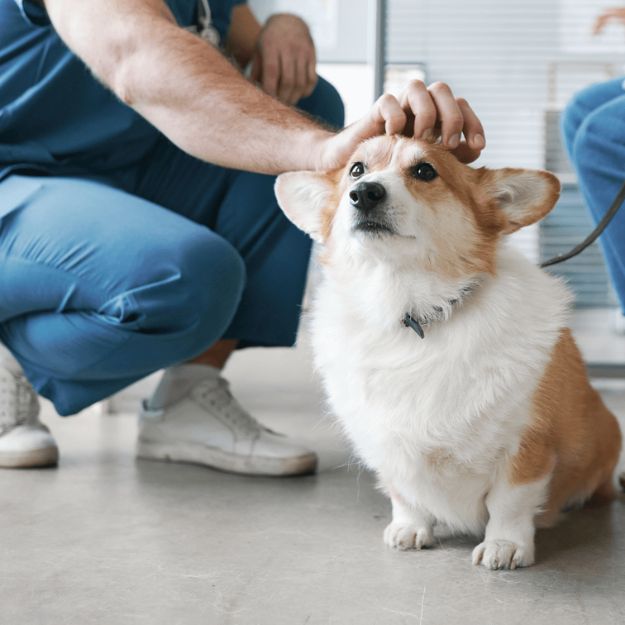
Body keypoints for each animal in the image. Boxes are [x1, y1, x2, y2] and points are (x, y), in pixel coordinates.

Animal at [276, 136, 620, 572]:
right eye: (356, 169)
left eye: (425, 171)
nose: (364, 193)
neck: (410, 312)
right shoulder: (388, 446)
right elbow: (404, 494)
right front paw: (409, 528)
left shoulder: (526, 446)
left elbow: (510, 503)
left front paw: (504, 545)